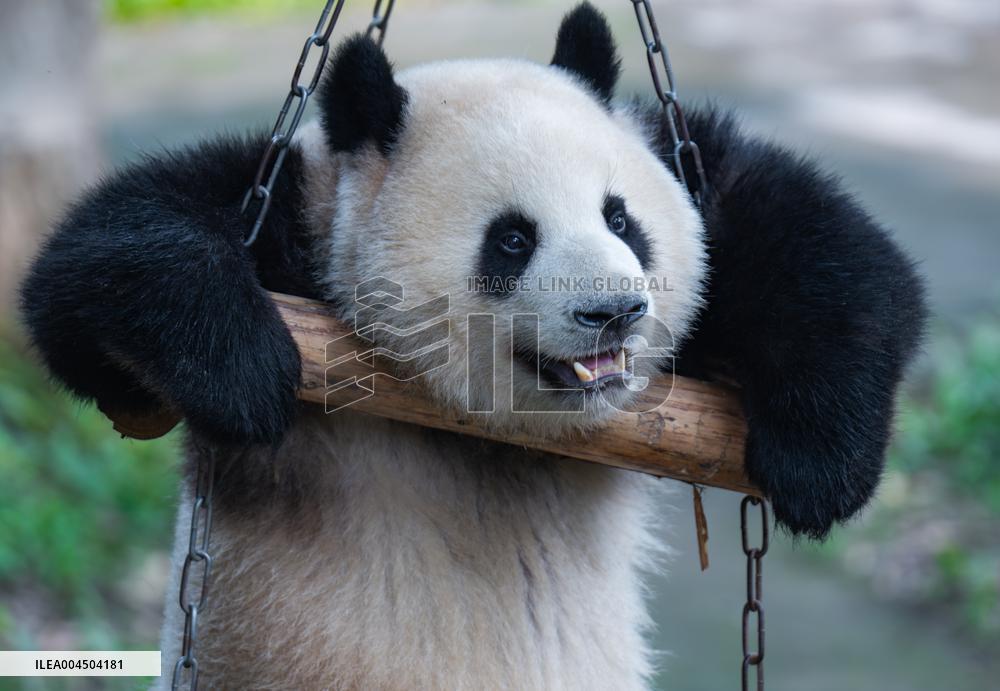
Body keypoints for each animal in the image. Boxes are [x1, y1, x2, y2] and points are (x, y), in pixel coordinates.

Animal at [20, 4, 925, 689]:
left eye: (620, 217)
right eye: (513, 240)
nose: (614, 311)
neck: (500, 440)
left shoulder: (690, 161)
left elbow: (828, 247)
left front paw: (822, 464)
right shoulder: (295, 221)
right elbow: (92, 275)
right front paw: (244, 372)